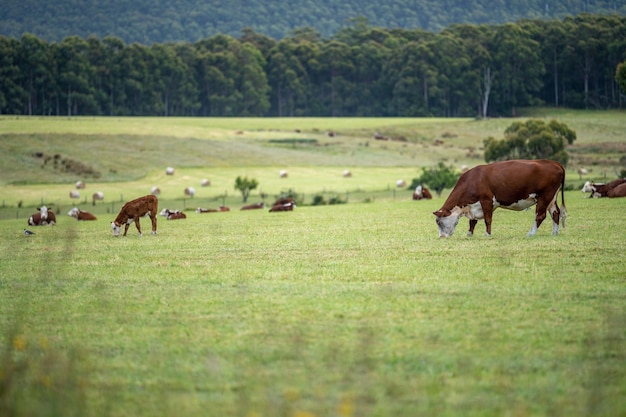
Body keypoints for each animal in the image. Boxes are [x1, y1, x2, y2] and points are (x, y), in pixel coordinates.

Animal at [432, 159, 564, 237]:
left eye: (439, 222)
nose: (441, 237)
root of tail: (554, 163)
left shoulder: (486, 200)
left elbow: (487, 219)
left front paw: (487, 235)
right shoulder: (474, 206)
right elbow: (472, 221)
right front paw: (469, 234)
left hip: (544, 196)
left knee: (540, 216)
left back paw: (531, 233)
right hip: (551, 198)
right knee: (555, 213)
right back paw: (555, 233)